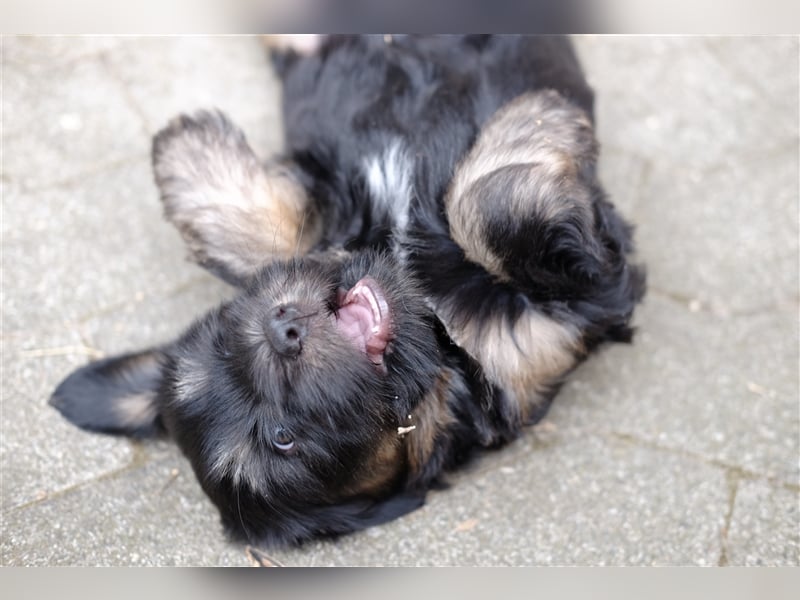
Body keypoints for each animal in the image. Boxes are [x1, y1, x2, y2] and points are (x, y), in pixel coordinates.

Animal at [50, 35, 648, 548]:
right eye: (282, 438)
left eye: (223, 345)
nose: (282, 329)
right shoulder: (567, 321)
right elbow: (491, 204)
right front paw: (541, 117)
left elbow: (277, 236)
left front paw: (188, 147)